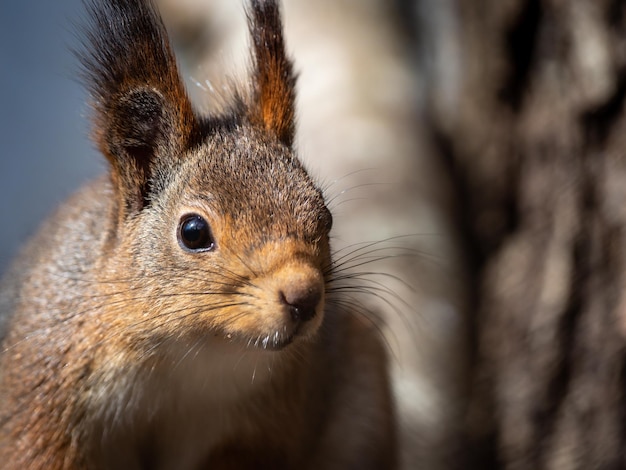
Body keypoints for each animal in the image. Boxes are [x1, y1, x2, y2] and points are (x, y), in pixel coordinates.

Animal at [0, 0, 394, 468]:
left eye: (327, 218)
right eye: (193, 232)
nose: (304, 297)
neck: (190, 353)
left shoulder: (267, 422)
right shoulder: (40, 398)